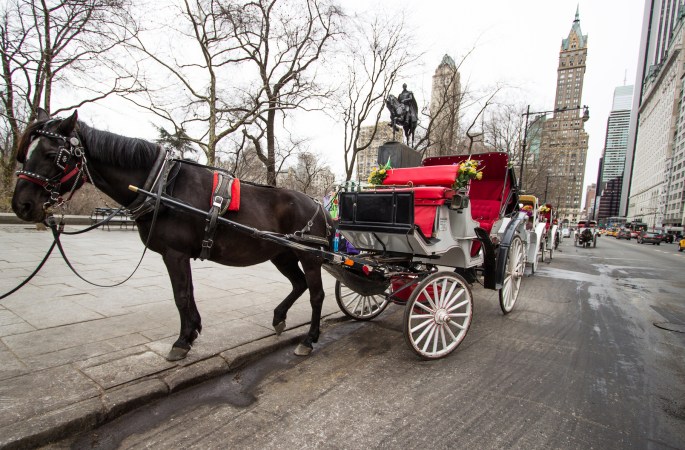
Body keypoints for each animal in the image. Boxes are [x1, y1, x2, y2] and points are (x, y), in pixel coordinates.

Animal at [10, 110, 332, 360]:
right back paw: (279, 317)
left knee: (316, 294)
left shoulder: (174, 253)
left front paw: (181, 341)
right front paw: (192, 332)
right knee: (299, 284)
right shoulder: (180, 255)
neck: (161, 186)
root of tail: (316, 203)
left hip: (310, 256)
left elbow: (180, 294)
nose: (21, 204)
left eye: (53, 155)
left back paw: (309, 339)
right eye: (26, 154)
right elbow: (188, 292)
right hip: (282, 254)